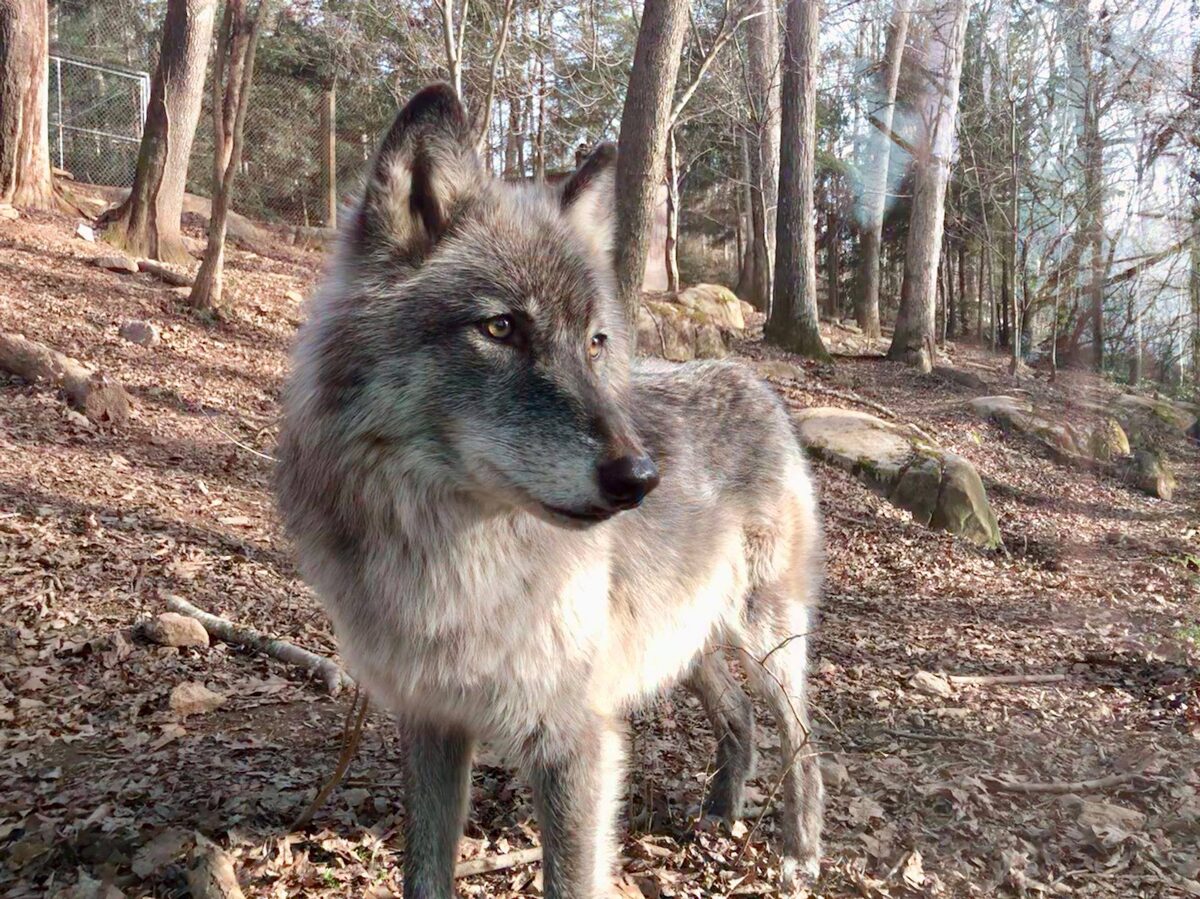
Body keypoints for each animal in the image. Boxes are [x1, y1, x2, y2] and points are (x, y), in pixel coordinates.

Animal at [275, 83, 824, 899]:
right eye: (501, 328)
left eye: (595, 342)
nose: (641, 477)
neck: (453, 558)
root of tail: (753, 379)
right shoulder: (432, 719)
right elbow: (425, 872)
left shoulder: (577, 738)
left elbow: (571, 875)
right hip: (687, 644)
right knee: (740, 720)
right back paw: (718, 815)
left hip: (764, 640)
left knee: (803, 738)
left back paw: (800, 850)